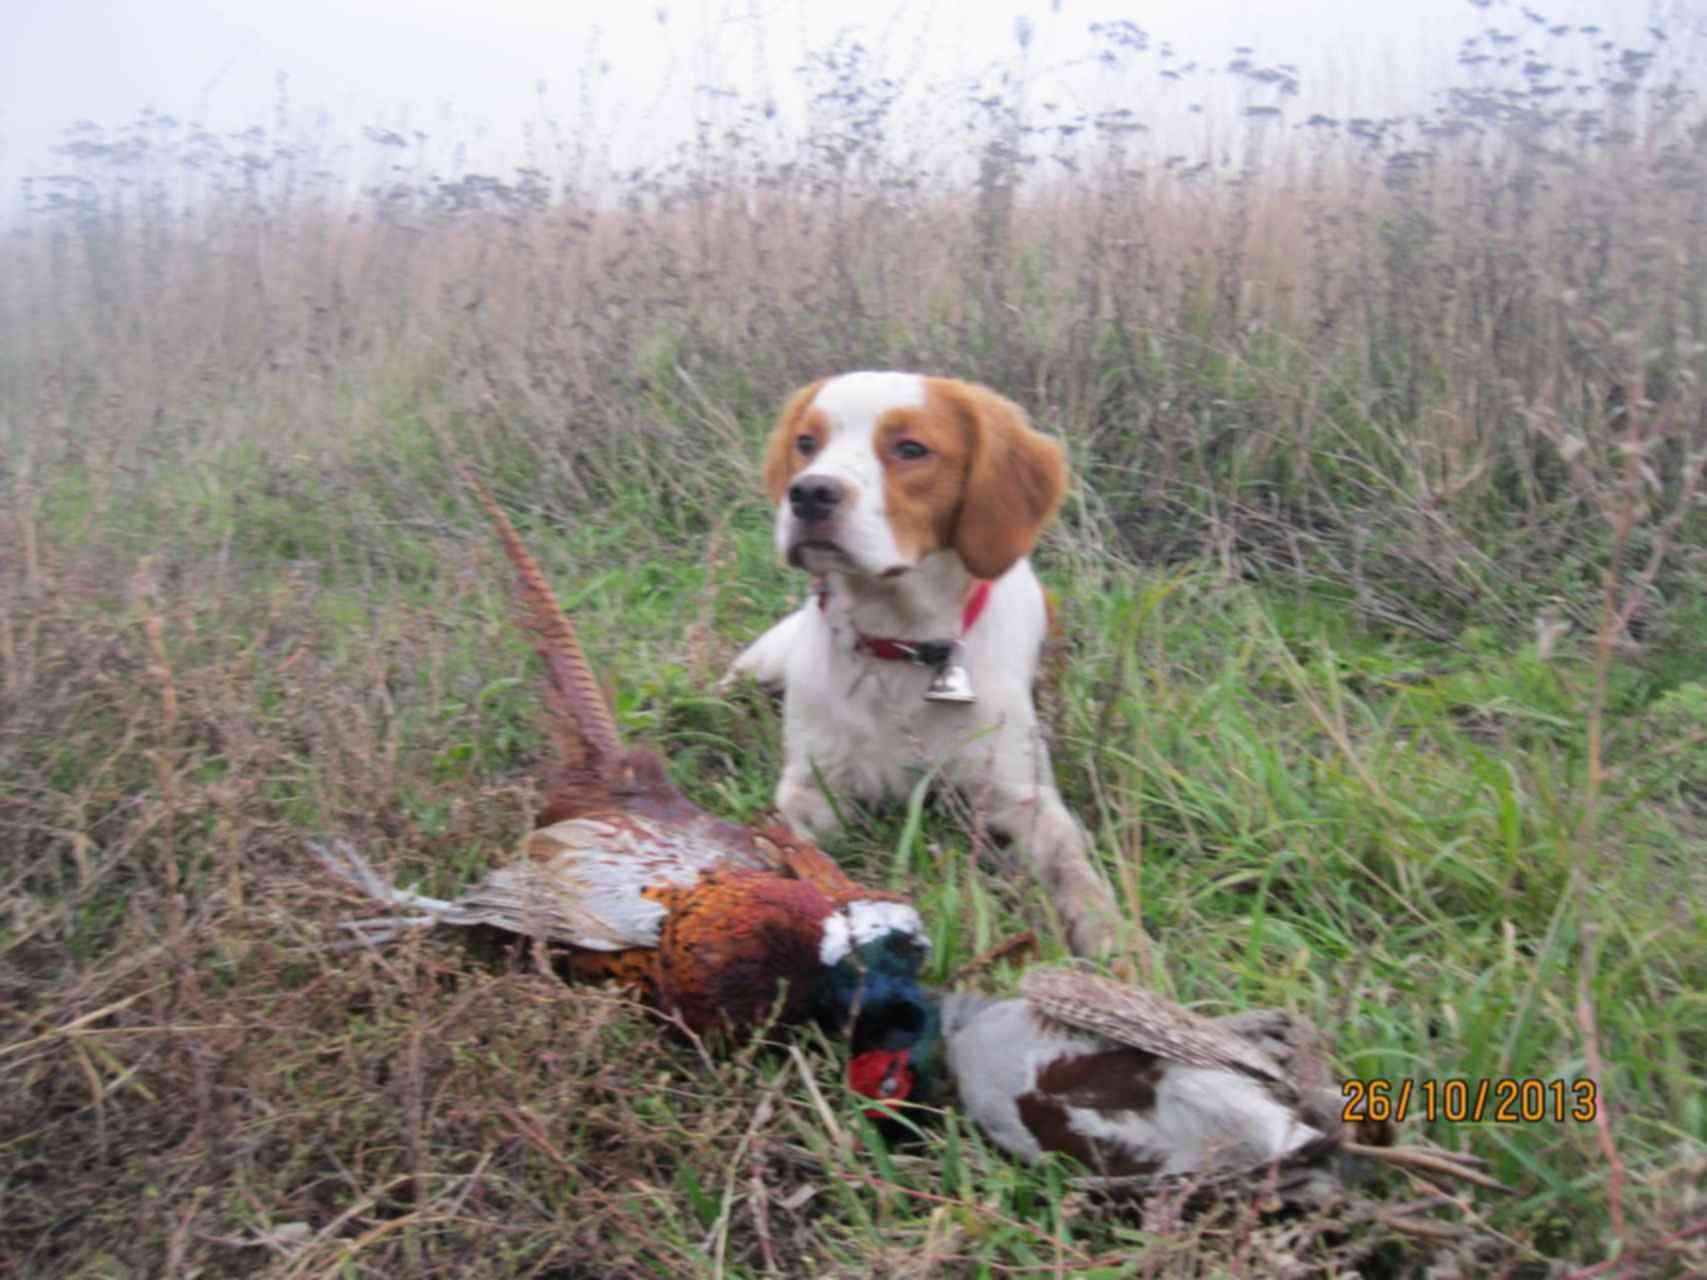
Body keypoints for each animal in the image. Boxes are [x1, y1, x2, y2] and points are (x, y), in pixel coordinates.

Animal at [727, 373, 1126, 962]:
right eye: (806, 442)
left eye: (911, 449)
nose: (809, 493)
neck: (899, 645)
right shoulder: (812, 788)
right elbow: (791, 846)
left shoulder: (1022, 795)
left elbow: (1077, 871)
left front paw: (1120, 943)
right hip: (756, 667)